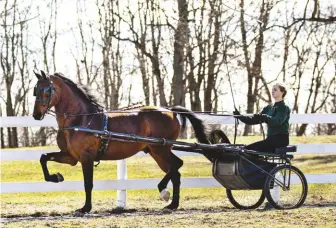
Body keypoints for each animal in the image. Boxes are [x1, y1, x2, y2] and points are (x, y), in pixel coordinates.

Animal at [32, 70, 215, 213]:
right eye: (35, 90)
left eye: (46, 90)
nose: (36, 115)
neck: (81, 119)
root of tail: (169, 110)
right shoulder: (71, 157)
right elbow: (43, 157)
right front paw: (56, 177)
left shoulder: (86, 157)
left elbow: (88, 183)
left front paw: (86, 208)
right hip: (157, 152)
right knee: (175, 172)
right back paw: (172, 204)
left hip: (160, 149)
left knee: (177, 164)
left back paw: (164, 191)